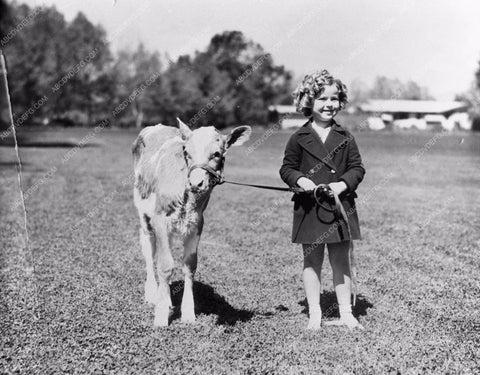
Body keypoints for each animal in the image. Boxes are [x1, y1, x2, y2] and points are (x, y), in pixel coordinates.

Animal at [131, 119, 251, 326]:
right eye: (186, 152)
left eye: (216, 154)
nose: (195, 183)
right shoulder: (160, 220)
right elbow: (165, 265)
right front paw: (161, 315)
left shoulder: (197, 223)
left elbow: (189, 266)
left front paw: (187, 313)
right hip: (144, 214)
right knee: (149, 250)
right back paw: (153, 294)